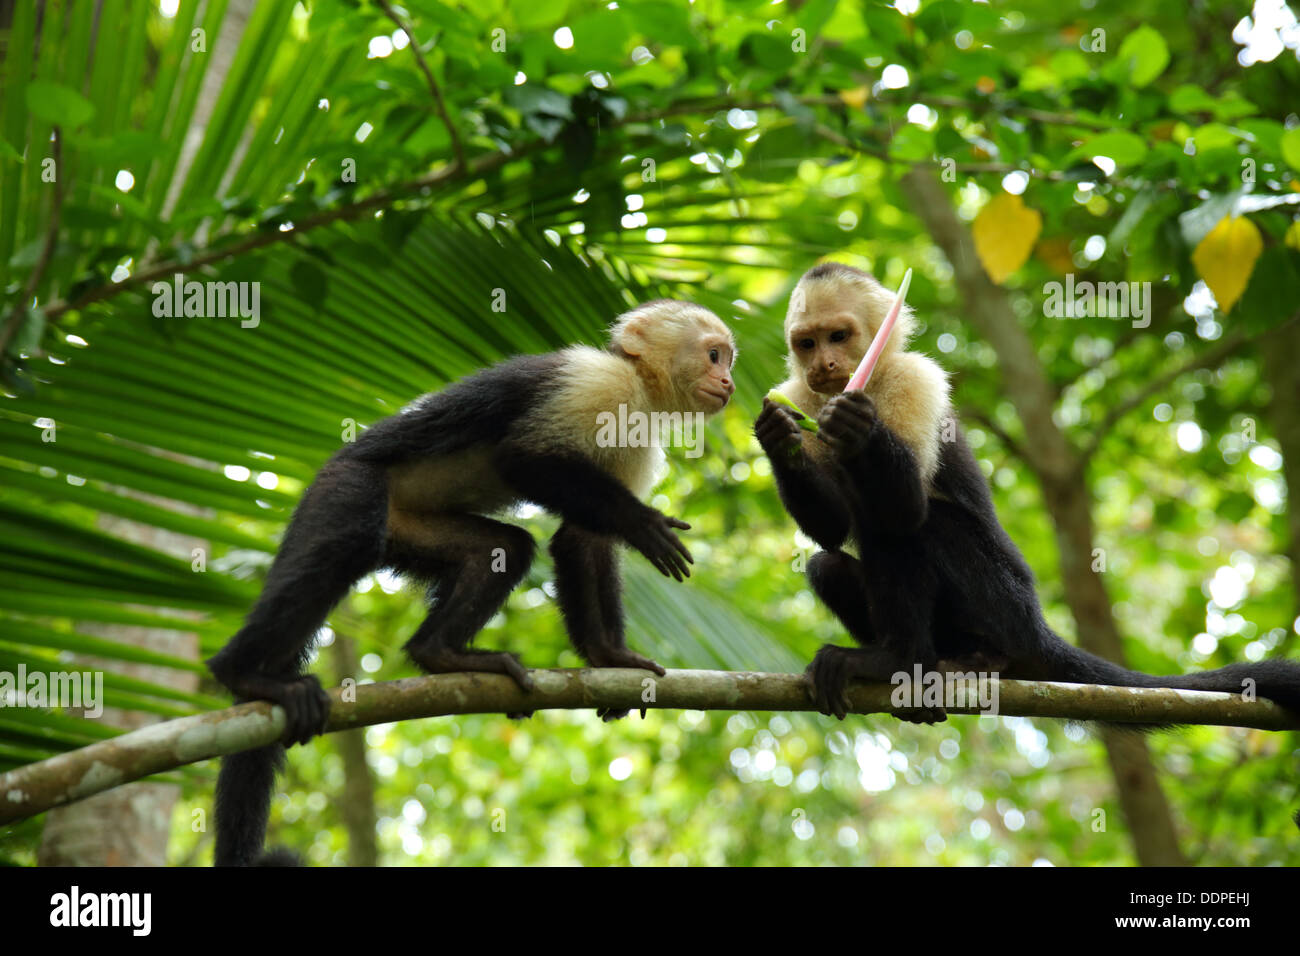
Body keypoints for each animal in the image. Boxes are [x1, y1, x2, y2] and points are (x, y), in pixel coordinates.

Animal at [754, 261, 1300, 723]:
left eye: (838, 336)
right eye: (806, 343)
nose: (824, 365)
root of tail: (1036, 627)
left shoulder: (914, 378)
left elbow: (904, 512)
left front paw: (856, 427)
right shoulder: (802, 394)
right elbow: (831, 529)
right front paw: (778, 436)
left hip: (1006, 605)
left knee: (918, 524)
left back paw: (900, 660)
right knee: (828, 564)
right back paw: (929, 664)